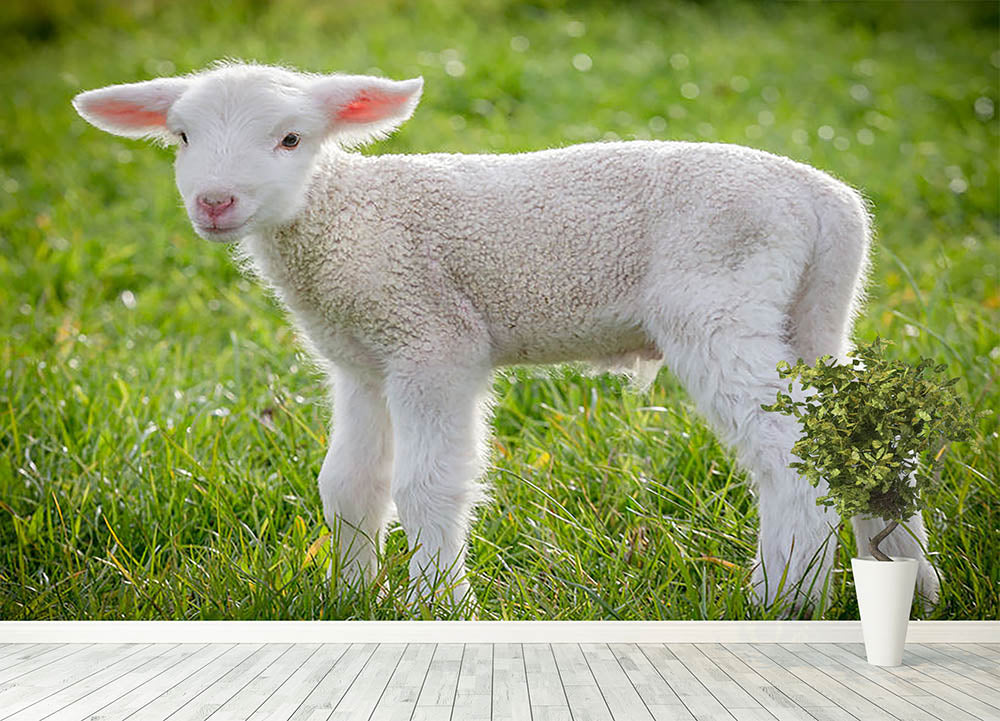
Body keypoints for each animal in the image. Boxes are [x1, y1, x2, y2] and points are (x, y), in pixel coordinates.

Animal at [73, 61, 938, 611]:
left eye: (290, 140)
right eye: (181, 138)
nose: (214, 202)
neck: (346, 218)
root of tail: (828, 201)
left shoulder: (432, 339)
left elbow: (427, 483)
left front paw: (434, 603)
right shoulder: (361, 361)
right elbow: (349, 483)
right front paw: (346, 596)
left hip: (720, 303)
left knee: (792, 452)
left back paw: (777, 599)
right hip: (814, 313)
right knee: (865, 437)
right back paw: (908, 577)